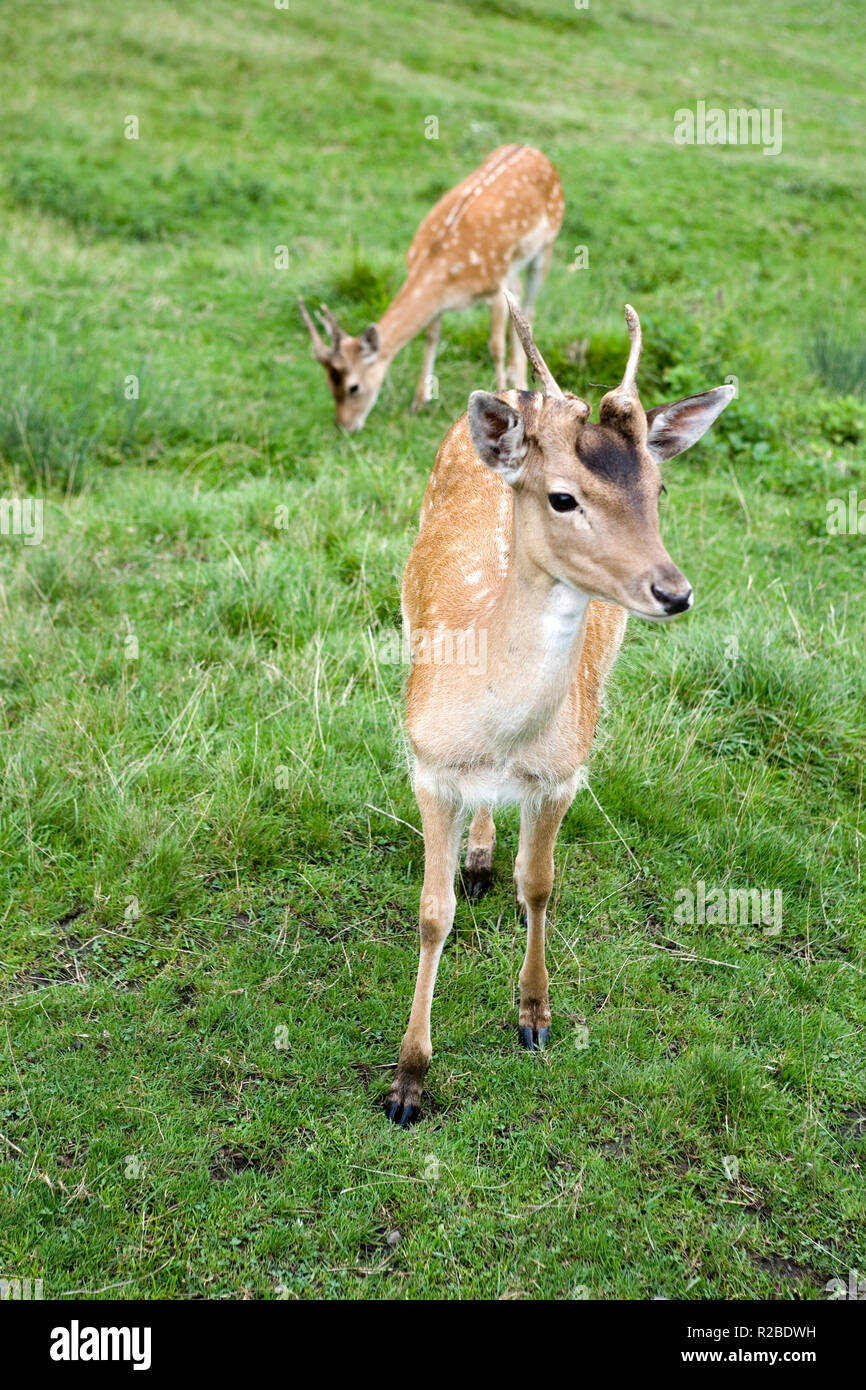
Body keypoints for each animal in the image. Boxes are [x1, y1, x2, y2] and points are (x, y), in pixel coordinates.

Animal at [301, 144, 567, 428]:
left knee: (529, 308)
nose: (344, 425)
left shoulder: (495, 286)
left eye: (353, 387)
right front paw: (419, 402)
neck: (446, 272)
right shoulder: (444, 301)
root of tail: (535, 151)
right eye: (329, 383)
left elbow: (495, 346)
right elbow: (431, 336)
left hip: (547, 242)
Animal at [386, 298, 733, 1123]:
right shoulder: (426, 762)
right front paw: (408, 1081)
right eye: (563, 496)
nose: (674, 591)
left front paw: (535, 1016)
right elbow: (432, 912)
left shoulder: (565, 771)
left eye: (658, 490)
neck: (498, 732)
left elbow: (539, 884)